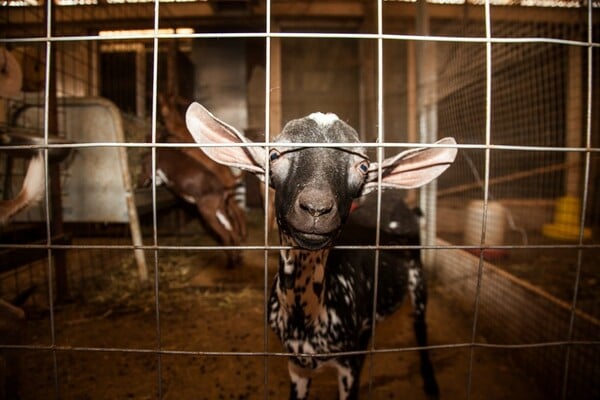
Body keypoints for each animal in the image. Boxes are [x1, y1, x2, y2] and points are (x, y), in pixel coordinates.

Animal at [185, 103, 458, 400]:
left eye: (363, 166)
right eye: (274, 154)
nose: (316, 207)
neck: (305, 317)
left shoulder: (349, 366)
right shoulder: (296, 366)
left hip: (418, 278)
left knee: (421, 327)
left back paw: (431, 384)